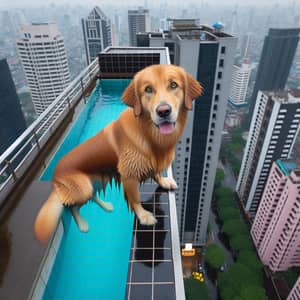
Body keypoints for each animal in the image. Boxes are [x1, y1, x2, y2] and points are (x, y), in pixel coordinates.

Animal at [34, 64, 203, 243]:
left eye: (173, 85)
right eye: (148, 89)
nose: (163, 111)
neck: (149, 134)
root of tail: (55, 174)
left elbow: (156, 172)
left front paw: (163, 181)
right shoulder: (129, 176)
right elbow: (135, 199)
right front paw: (144, 216)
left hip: (96, 181)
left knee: (92, 197)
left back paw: (106, 206)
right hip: (83, 187)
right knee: (72, 207)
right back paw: (82, 224)